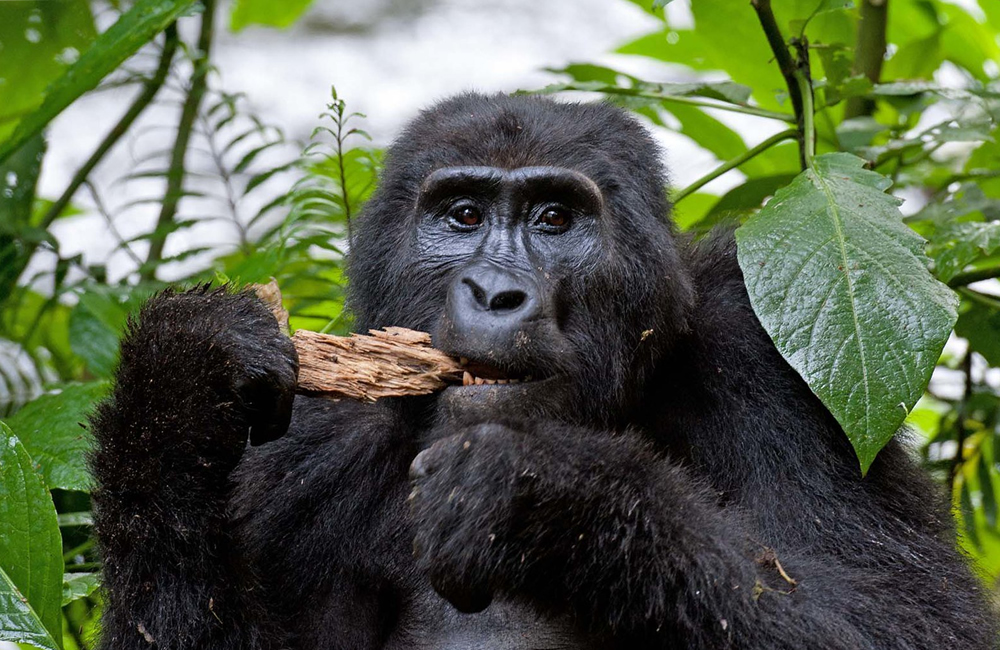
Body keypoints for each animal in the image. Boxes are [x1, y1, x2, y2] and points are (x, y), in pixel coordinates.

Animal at [90, 92, 996, 648]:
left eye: (555, 219)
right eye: (463, 216)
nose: (496, 293)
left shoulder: (769, 366)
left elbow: (914, 621)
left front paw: (550, 496)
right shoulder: (298, 452)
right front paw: (177, 385)